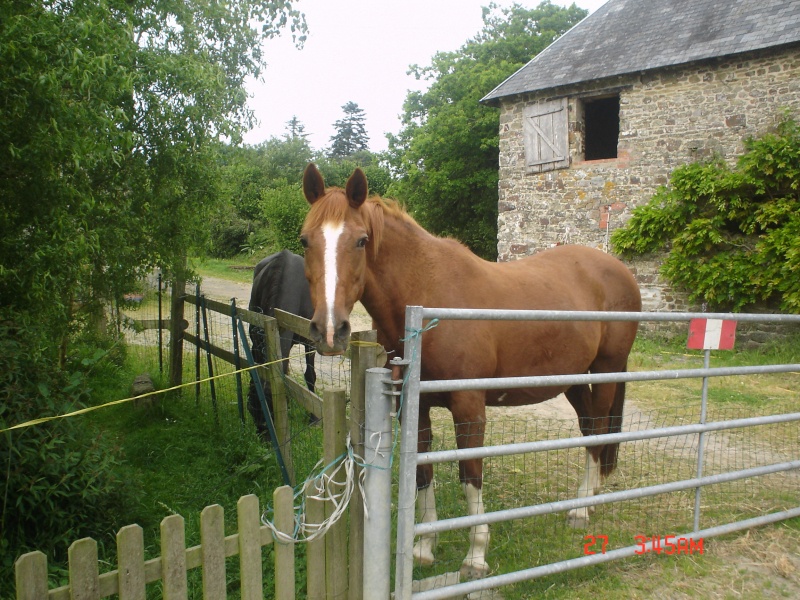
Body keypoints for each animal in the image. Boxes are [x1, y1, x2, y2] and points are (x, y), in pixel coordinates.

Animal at [247, 250, 316, 440]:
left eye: (274, 412)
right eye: (253, 408)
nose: (265, 438)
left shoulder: (311, 342)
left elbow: (310, 375)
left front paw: (314, 418)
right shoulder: (257, 339)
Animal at [296, 163, 640, 576]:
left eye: (362, 241)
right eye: (305, 241)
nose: (330, 330)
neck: (428, 300)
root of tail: (617, 269)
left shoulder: (469, 407)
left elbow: (469, 475)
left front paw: (476, 555)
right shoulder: (414, 408)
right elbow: (422, 472)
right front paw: (424, 547)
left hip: (607, 372)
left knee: (599, 431)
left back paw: (581, 509)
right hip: (573, 379)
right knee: (590, 430)